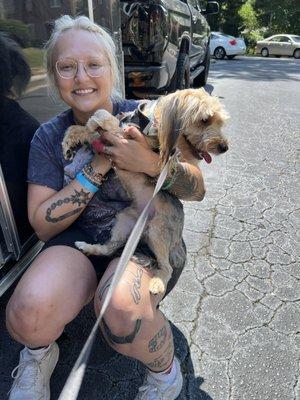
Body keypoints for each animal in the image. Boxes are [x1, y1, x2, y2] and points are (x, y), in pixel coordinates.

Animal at [62, 87, 229, 294]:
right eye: (205, 120)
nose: (224, 147)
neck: (148, 121)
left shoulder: (131, 141)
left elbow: (113, 123)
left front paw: (99, 119)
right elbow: (83, 129)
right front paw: (69, 141)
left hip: (158, 232)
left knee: (167, 267)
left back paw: (157, 284)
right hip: (123, 220)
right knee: (110, 248)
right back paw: (88, 247)